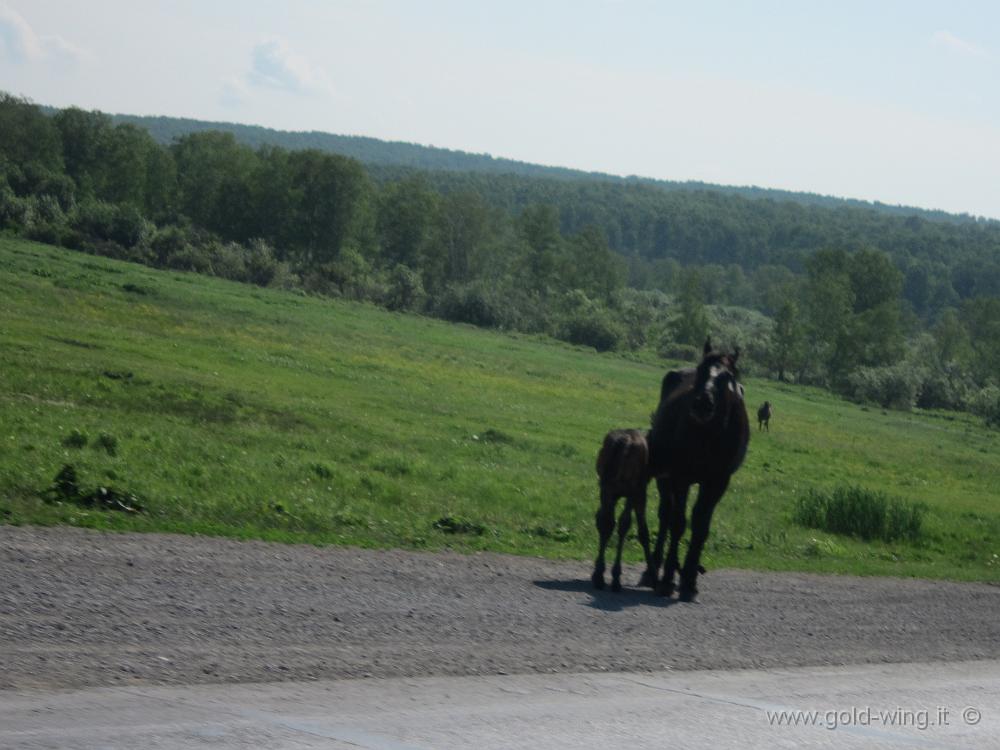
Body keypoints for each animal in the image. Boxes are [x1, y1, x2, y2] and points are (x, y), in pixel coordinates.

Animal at [592, 428, 656, 592]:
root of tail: (623, 442)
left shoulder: (612, 492)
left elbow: (606, 523)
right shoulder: (639, 493)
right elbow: (642, 531)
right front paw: (651, 575)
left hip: (607, 488)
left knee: (607, 522)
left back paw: (600, 576)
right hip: (631, 489)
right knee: (622, 523)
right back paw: (614, 578)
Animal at [640, 340, 752, 604]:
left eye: (728, 376)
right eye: (702, 370)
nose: (702, 403)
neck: (710, 433)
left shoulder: (717, 482)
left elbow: (701, 526)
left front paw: (689, 580)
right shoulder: (681, 477)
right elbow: (678, 523)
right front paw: (668, 579)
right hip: (666, 479)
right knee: (666, 515)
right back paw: (654, 570)